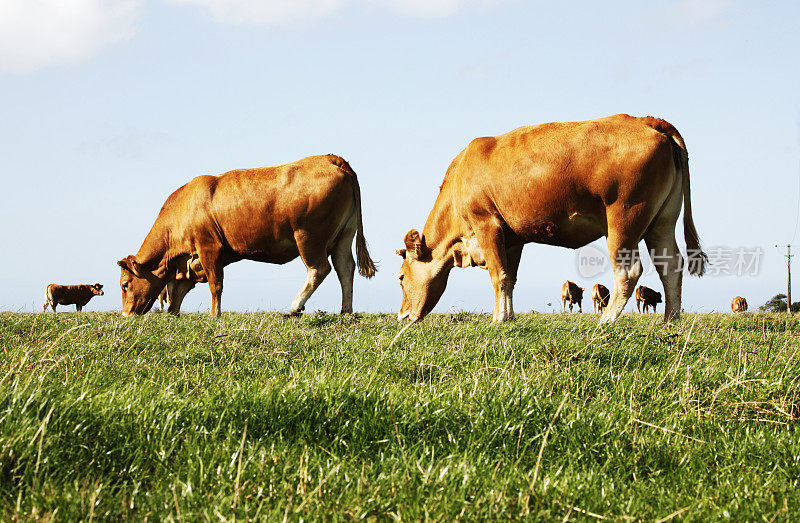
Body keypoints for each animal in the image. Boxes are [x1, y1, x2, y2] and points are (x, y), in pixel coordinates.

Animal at [117, 154, 376, 318]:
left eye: (125, 284)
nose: (125, 315)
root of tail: (330, 158)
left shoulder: (209, 247)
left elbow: (215, 284)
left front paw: (215, 315)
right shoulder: (191, 260)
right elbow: (177, 290)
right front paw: (173, 313)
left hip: (308, 236)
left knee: (320, 269)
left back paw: (295, 307)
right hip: (344, 235)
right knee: (345, 268)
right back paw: (345, 311)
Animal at [396, 114, 704, 324]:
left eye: (400, 277)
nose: (402, 316)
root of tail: (648, 121)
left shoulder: (487, 224)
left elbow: (498, 275)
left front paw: (498, 319)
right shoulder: (512, 238)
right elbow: (510, 277)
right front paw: (508, 316)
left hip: (624, 220)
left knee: (628, 272)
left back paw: (606, 320)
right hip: (662, 221)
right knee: (671, 266)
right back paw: (670, 320)